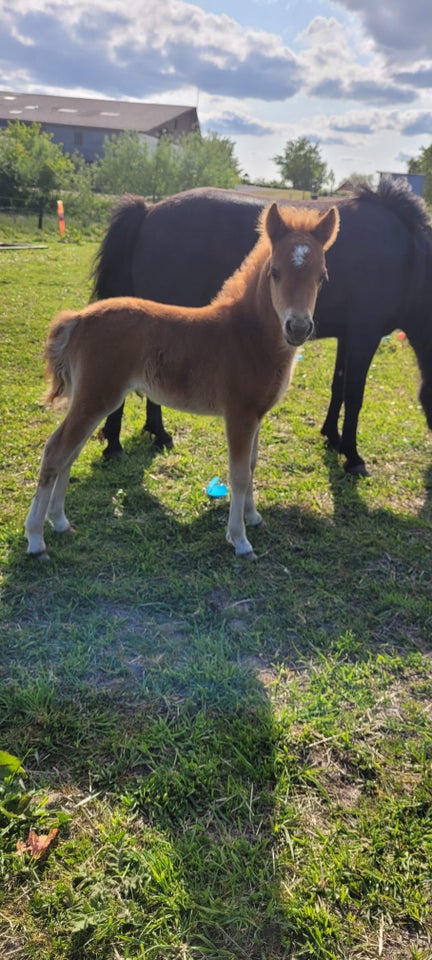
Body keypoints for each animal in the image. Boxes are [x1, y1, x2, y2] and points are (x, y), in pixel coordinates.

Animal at [25, 204, 340, 564]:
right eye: (275, 272)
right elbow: (239, 475)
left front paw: (253, 517)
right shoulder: (239, 415)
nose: (298, 327)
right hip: (96, 397)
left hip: (92, 400)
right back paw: (36, 539)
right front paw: (239, 540)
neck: (248, 335)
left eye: (322, 276)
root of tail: (78, 318)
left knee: (70, 453)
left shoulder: (257, 415)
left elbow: (252, 465)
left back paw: (60, 522)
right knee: (56, 451)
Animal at [92, 177, 432, 476]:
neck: (407, 256)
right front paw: (353, 456)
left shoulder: (348, 336)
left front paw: (331, 437)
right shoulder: (365, 336)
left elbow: (338, 386)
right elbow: (355, 395)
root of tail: (148, 211)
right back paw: (116, 444)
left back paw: (156, 434)